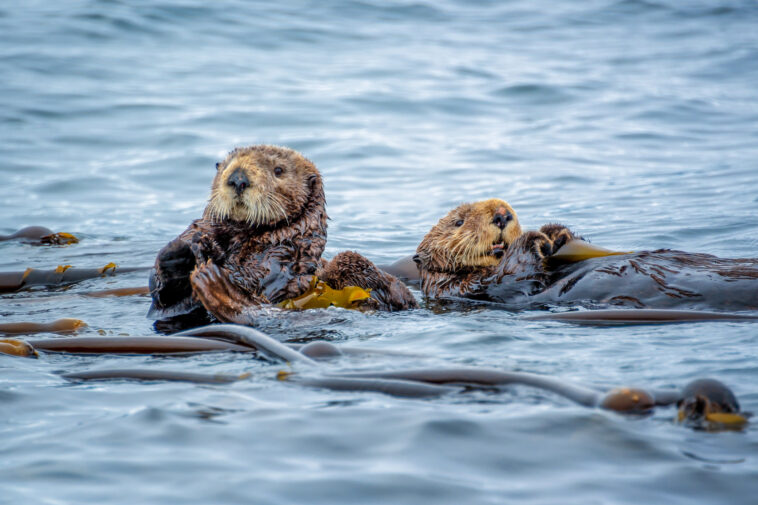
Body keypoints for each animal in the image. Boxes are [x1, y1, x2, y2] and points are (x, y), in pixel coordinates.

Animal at [414, 199, 758, 311]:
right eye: (459, 222)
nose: (501, 213)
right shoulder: (473, 289)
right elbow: (513, 278)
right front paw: (534, 237)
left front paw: (556, 233)